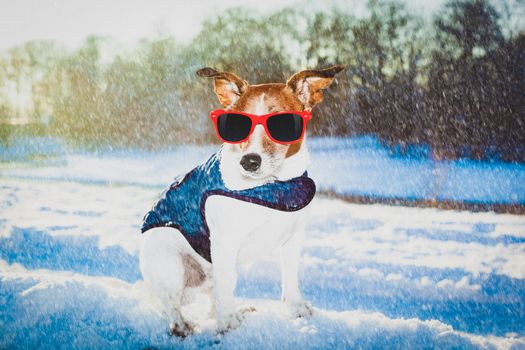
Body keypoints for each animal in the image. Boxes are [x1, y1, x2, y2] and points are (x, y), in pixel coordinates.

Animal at [138, 64, 344, 334]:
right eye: (237, 124)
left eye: (281, 124)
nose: (249, 161)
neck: (271, 187)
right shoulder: (225, 241)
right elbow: (227, 284)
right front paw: (227, 322)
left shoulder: (293, 238)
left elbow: (290, 276)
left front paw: (296, 307)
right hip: (169, 264)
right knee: (175, 306)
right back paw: (185, 325)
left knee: (212, 299)